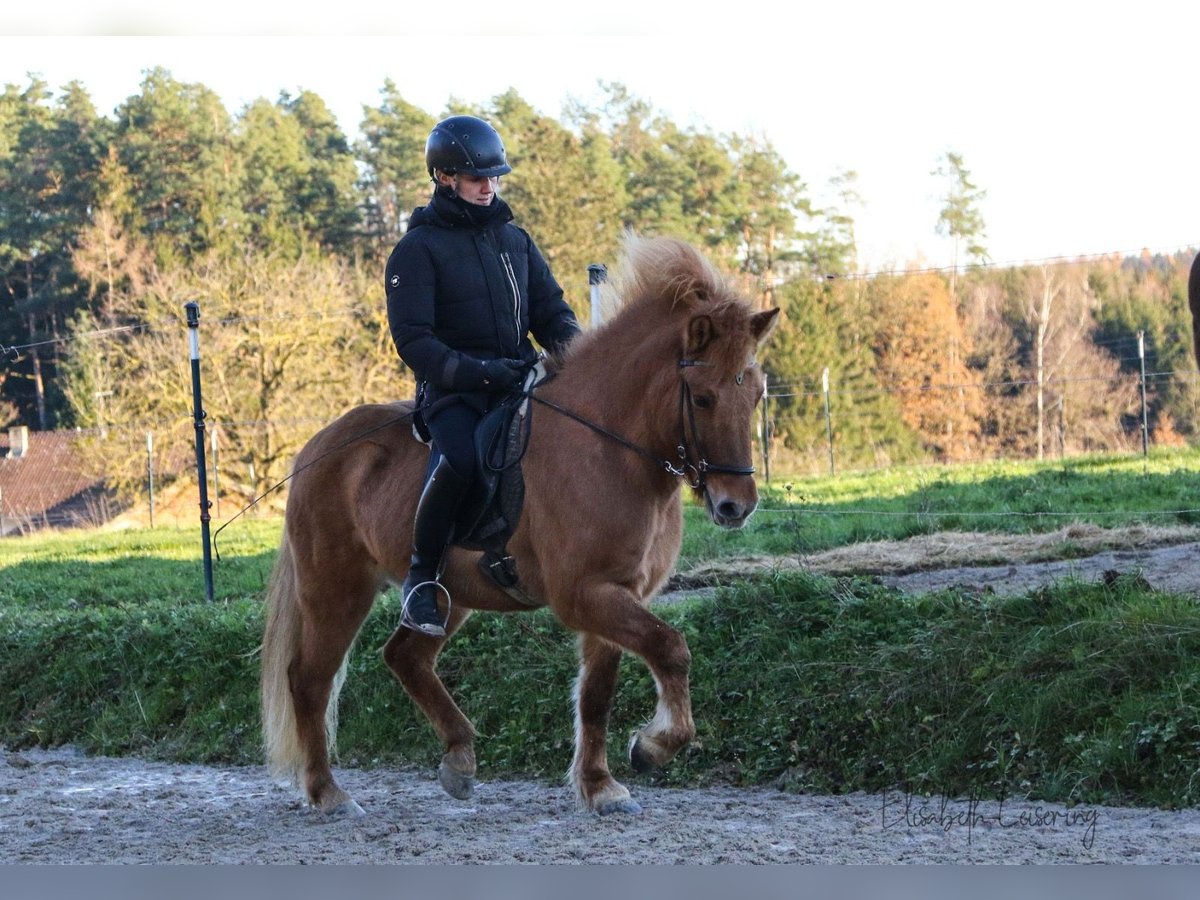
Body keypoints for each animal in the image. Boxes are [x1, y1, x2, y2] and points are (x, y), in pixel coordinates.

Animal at [260, 236, 777, 820]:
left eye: (756, 394)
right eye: (704, 396)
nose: (736, 506)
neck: (612, 451)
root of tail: (316, 449)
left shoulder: (617, 593)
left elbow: (597, 695)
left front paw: (599, 785)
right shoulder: (584, 593)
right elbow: (670, 647)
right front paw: (652, 746)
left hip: (448, 595)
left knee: (404, 656)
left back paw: (459, 758)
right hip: (336, 591)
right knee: (310, 681)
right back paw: (328, 793)